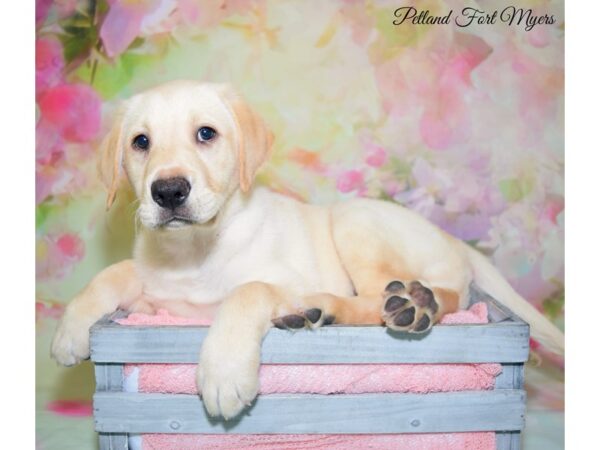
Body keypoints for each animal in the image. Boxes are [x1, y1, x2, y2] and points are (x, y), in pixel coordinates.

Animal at [50, 79, 564, 420]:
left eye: (206, 134)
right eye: (141, 142)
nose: (169, 191)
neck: (196, 250)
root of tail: (454, 241)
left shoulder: (277, 279)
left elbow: (248, 290)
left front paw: (223, 370)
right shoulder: (157, 295)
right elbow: (115, 272)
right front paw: (71, 330)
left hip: (354, 221)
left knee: (419, 297)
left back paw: (389, 305)